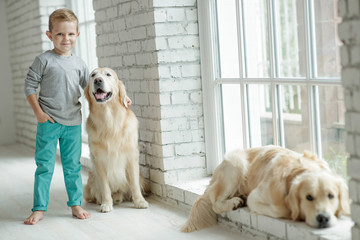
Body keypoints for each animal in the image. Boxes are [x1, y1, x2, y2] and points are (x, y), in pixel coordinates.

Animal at [181, 145, 350, 232]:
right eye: (309, 197)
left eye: (331, 196)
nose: (323, 218)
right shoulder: (255, 197)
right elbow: (280, 209)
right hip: (236, 163)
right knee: (215, 202)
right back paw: (234, 201)